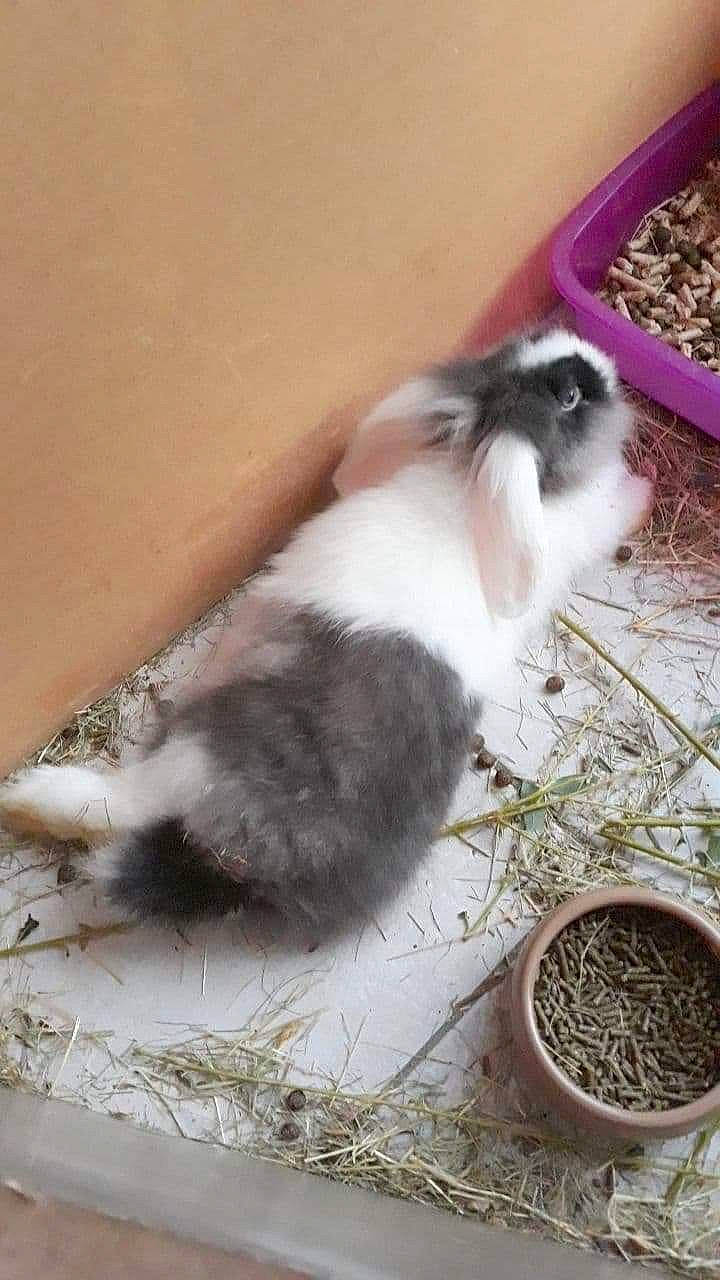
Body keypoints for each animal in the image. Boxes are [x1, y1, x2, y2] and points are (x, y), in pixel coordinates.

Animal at [0, 329, 653, 936]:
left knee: (120, 805)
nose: (603, 362)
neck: (470, 473)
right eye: (568, 395)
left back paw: (27, 796)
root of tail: (244, 864)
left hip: (195, 745)